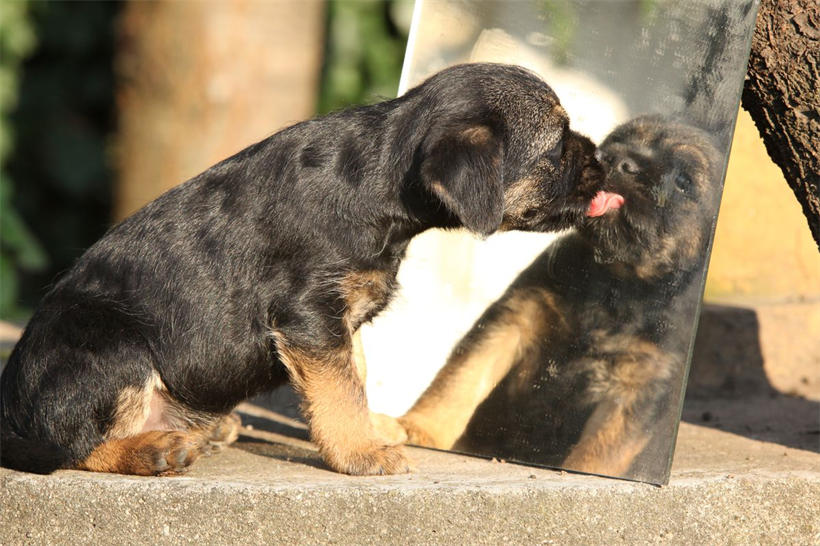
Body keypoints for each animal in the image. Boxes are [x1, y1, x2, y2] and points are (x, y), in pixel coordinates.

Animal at [1, 61, 608, 474]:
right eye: (557, 147)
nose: (602, 160)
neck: (380, 177)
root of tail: (12, 412)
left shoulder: (338, 319)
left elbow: (354, 374)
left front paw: (371, 428)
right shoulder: (309, 315)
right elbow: (338, 390)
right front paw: (362, 452)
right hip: (111, 344)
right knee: (67, 447)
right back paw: (156, 449)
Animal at [400, 115, 720, 480]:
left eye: (682, 181)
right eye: (618, 140)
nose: (617, 161)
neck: (616, 284)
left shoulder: (640, 386)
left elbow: (599, 452)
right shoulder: (514, 320)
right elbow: (459, 380)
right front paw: (420, 429)